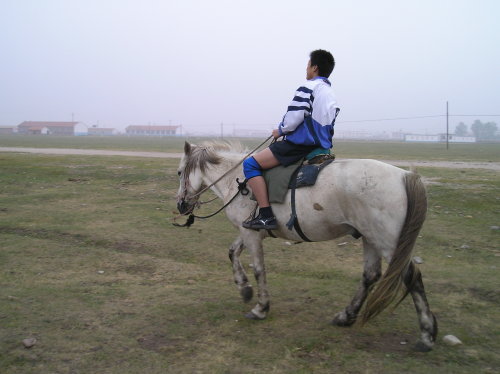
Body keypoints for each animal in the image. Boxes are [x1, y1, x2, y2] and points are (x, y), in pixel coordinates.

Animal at [176, 142, 438, 352]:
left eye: (179, 172)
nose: (180, 205)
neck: (237, 181)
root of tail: (405, 175)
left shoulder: (251, 234)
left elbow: (259, 269)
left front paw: (261, 307)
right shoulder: (250, 230)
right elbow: (232, 252)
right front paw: (244, 289)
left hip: (387, 241)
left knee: (412, 277)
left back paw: (427, 335)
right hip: (370, 238)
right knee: (370, 275)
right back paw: (346, 316)